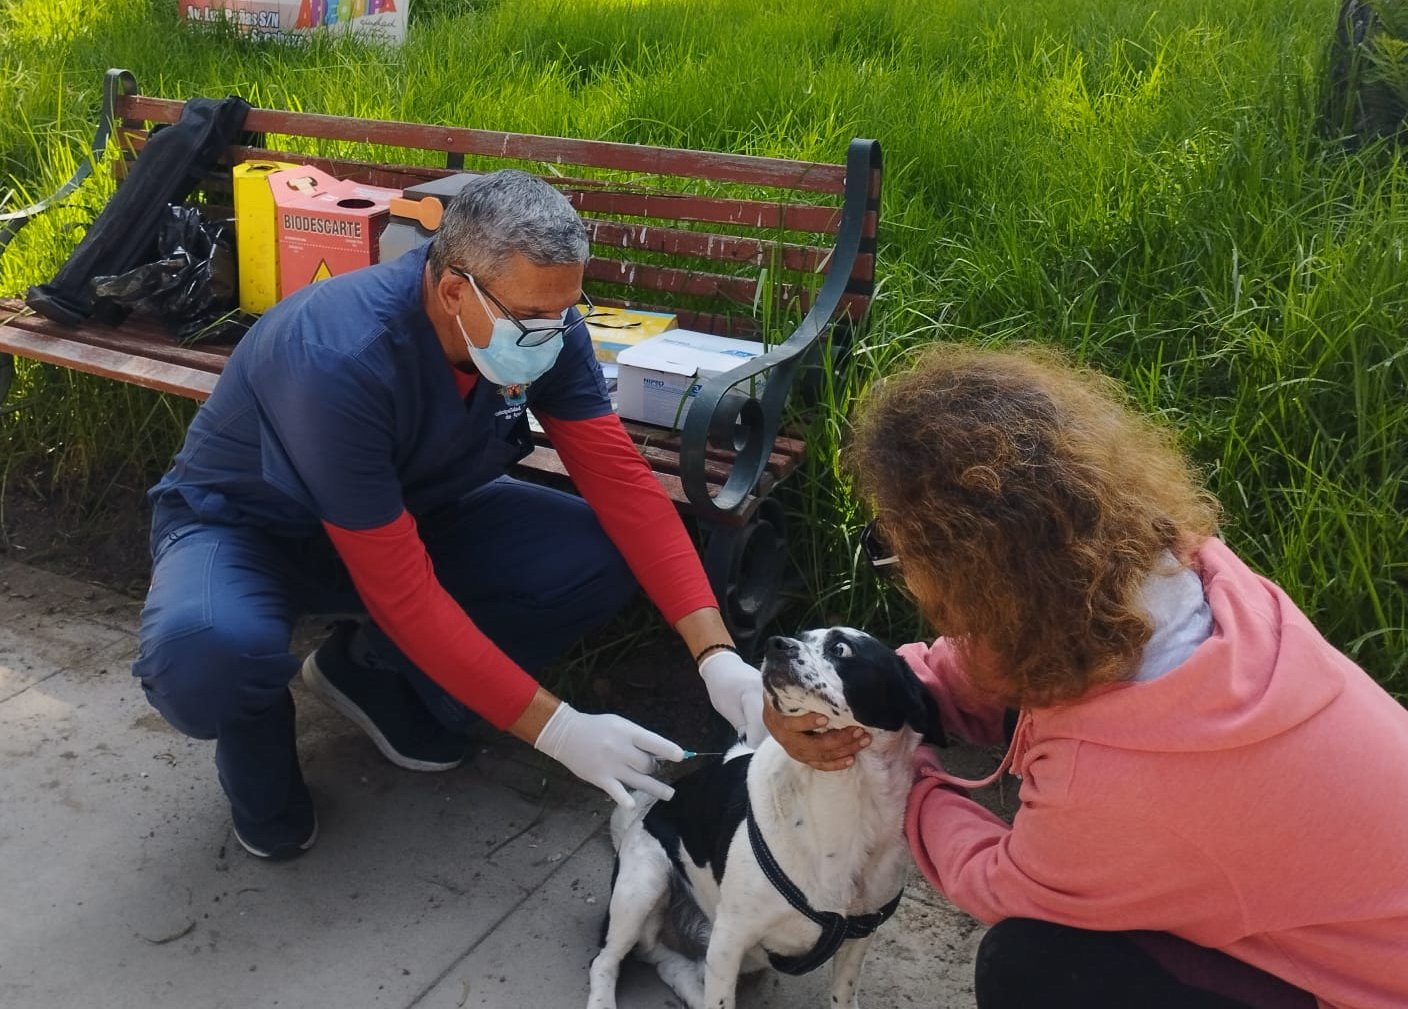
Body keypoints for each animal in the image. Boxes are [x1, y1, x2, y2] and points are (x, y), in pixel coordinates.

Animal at [588, 624, 940, 1001]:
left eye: (841, 648)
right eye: (801, 634)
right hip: (643, 885)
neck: (841, 803)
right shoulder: (729, 939)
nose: (776, 643)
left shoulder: (857, 940)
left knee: (670, 965)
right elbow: (720, 1000)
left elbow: (843, 995)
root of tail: (639, 821)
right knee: (606, 960)